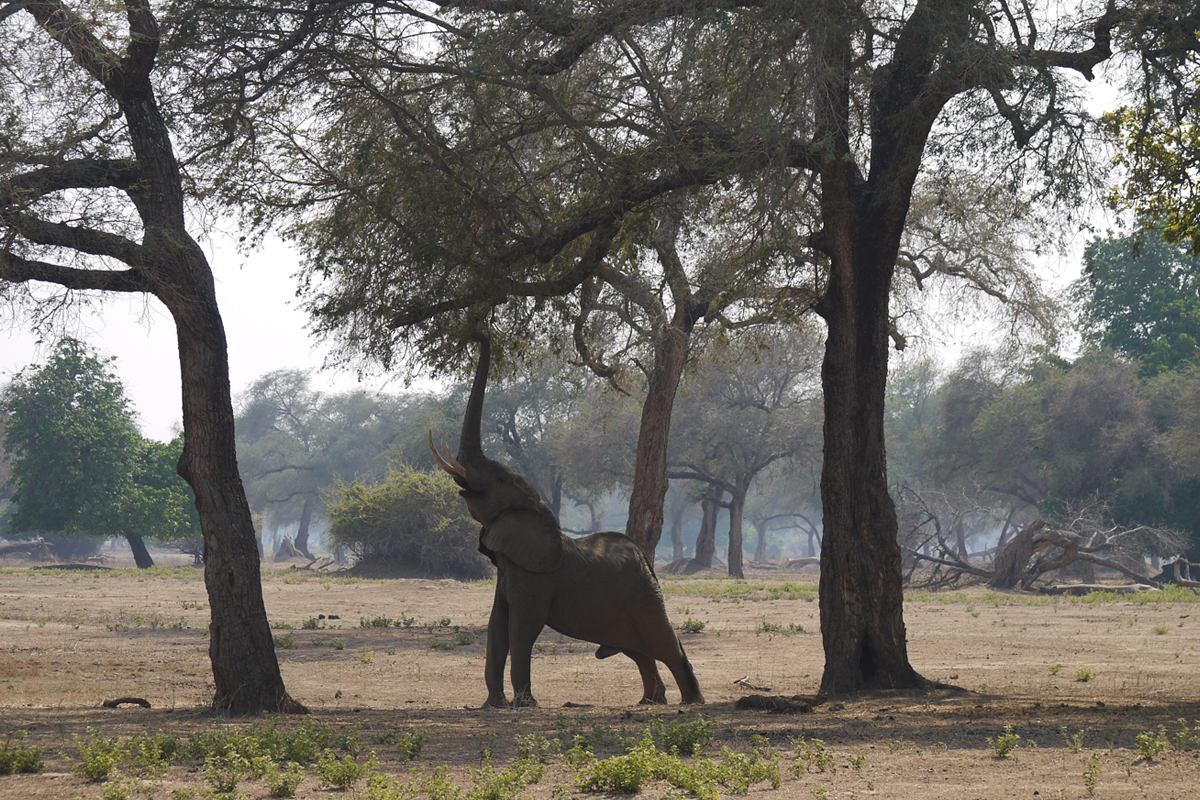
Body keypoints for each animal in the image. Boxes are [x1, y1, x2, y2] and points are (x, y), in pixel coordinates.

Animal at [430, 331, 704, 708]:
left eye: (500, 479)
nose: (478, 332)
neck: (537, 510)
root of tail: (646, 561)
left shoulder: (535, 577)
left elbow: (522, 628)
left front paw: (523, 705)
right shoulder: (510, 571)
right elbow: (496, 627)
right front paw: (493, 705)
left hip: (647, 596)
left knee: (666, 645)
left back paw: (691, 702)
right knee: (639, 651)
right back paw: (650, 701)